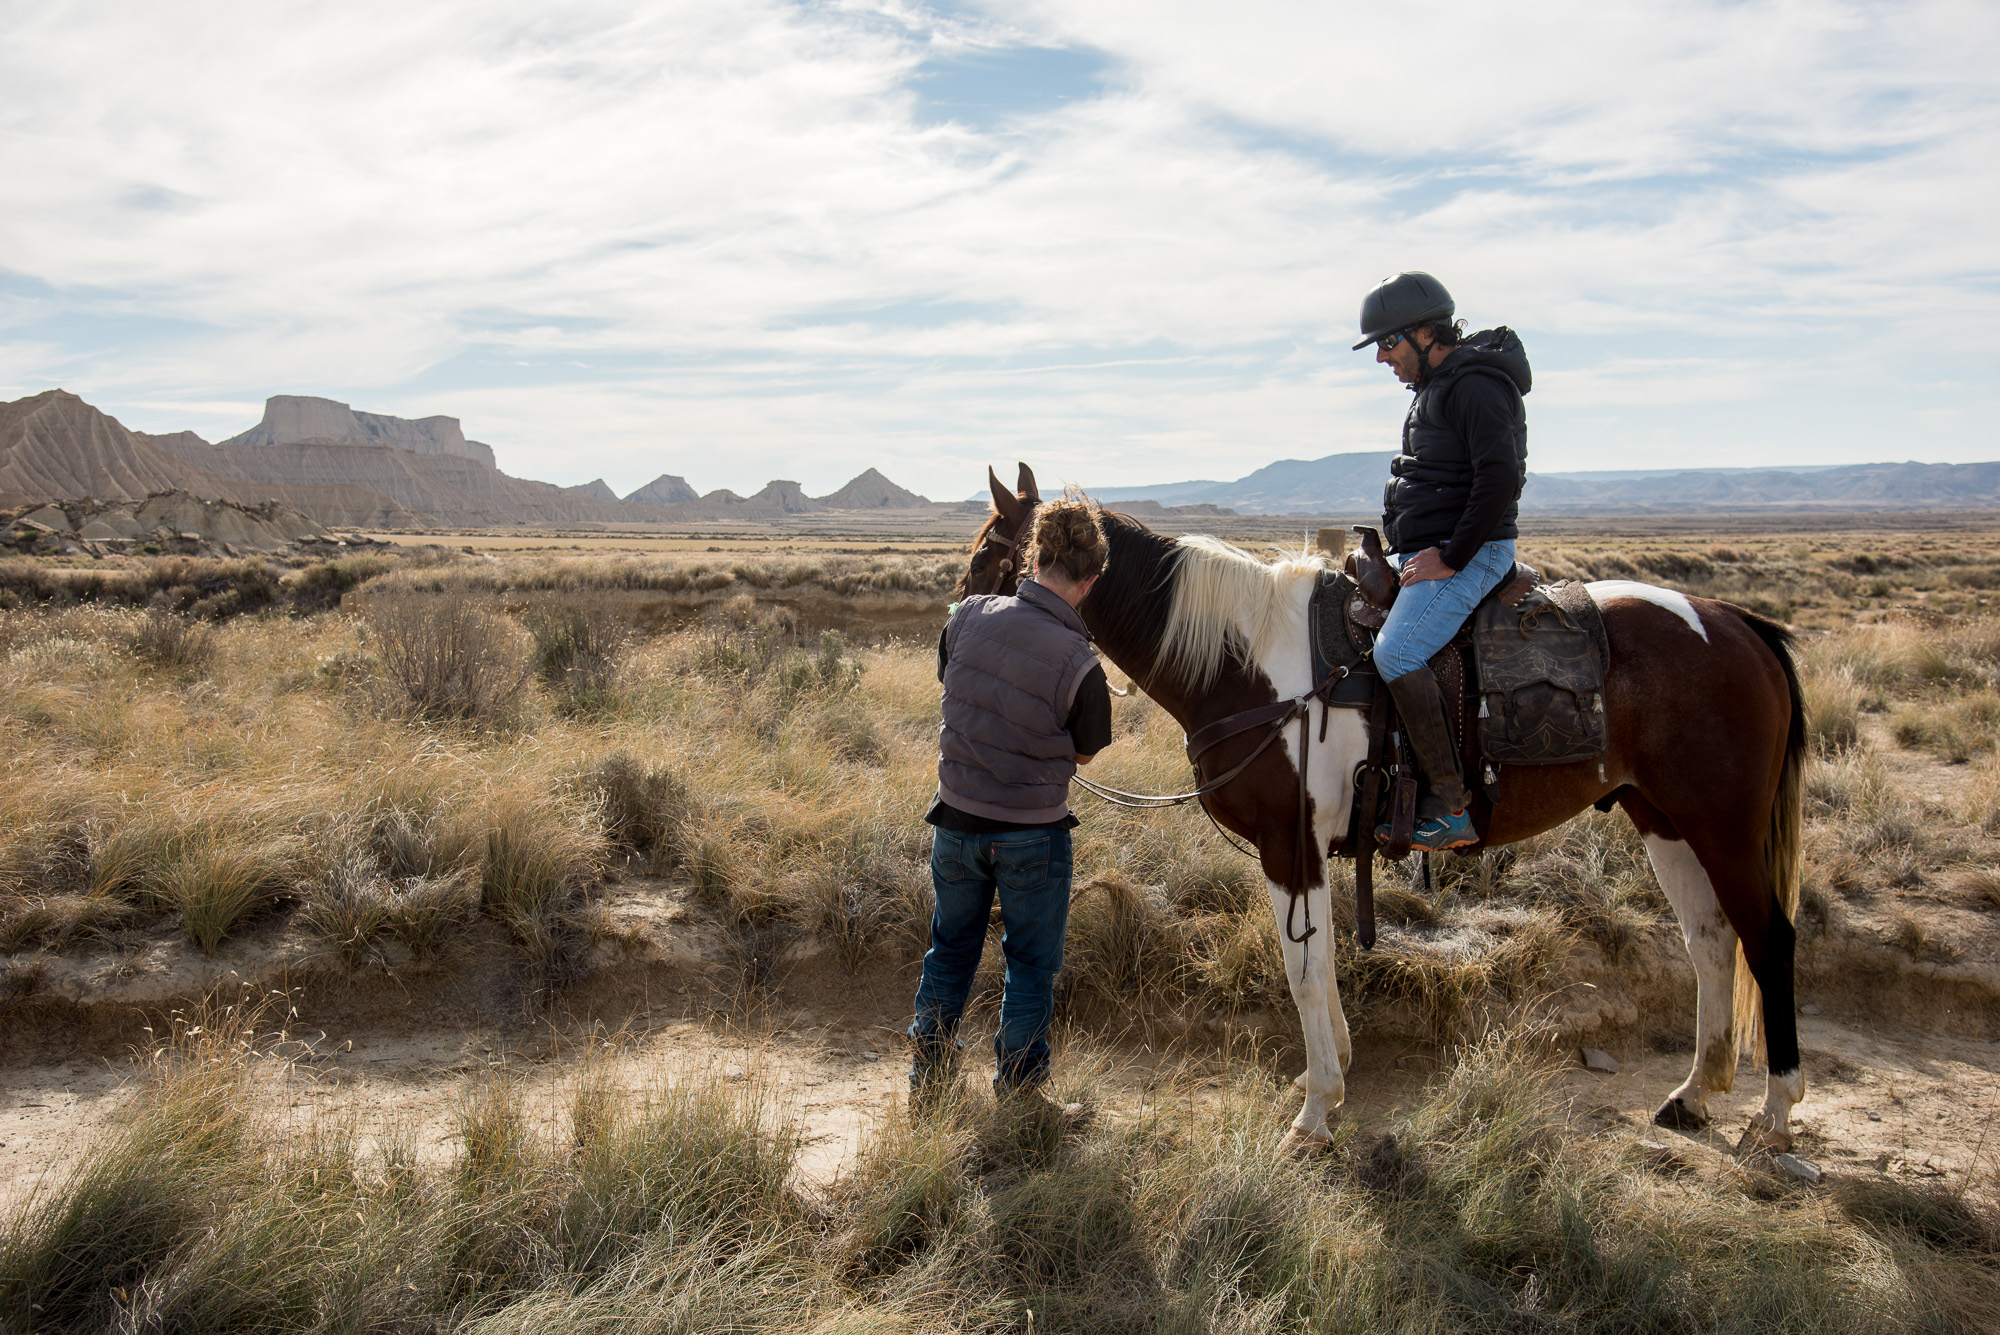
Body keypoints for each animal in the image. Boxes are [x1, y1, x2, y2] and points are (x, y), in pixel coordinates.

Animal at [960, 467, 1808, 1159]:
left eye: (985, 554)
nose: (953, 641)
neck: (1246, 664)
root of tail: (1739, 621)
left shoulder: (1289, 843)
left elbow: (1303, 971)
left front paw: (1314, 1113)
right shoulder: (1308, 849)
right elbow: (1324, 957)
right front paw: (1332, 1075)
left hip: (1724, 826)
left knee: (1767, 939)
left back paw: (1775, 1111)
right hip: (1664, 818)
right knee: (1710, 940)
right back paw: (1695, 1094)